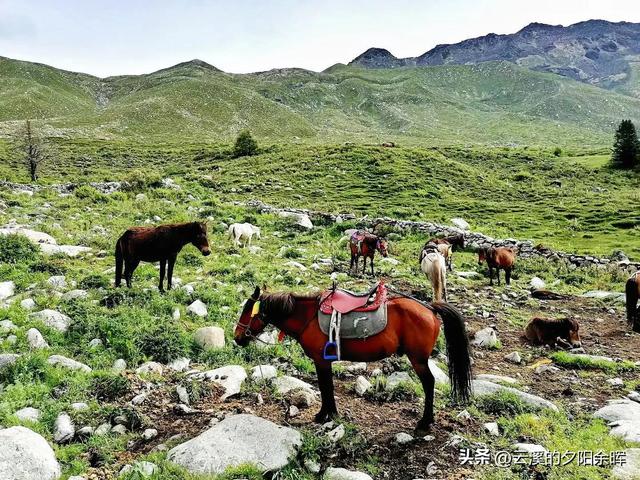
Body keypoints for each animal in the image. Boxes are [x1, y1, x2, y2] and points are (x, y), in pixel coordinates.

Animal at [232, 284, 472, 434]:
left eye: (247, 311)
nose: (237, 338)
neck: (307, 317)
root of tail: (430, 308)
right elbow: (327, 387)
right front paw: (331, 414)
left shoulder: (321, 360)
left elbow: (325, 387)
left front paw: (324, 415)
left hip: (418, 359)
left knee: (429, 383)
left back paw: (424, 422)